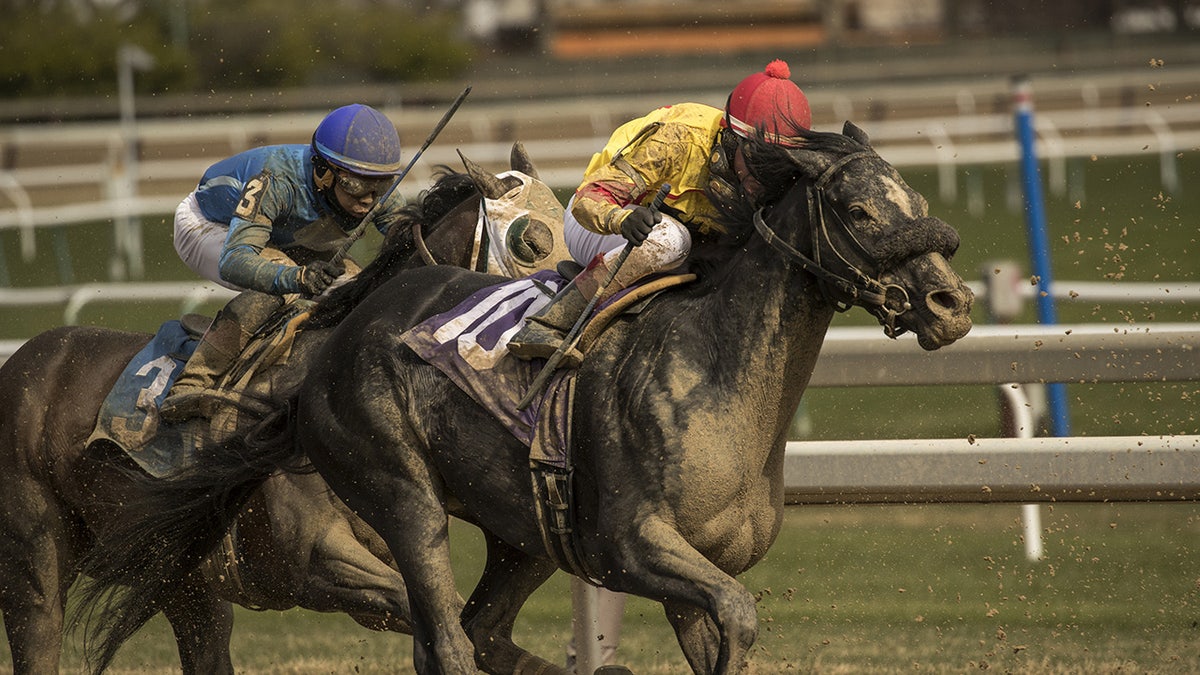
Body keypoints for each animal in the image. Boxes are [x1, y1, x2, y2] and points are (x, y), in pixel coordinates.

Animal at [0, 143, 565, 674]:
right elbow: (443, 618)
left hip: (182, 581)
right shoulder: (316, 560)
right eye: (530, 240)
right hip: (34, 566)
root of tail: (25, 358)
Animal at [76, 121, 974, 674]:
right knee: (445, 638)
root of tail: (330, 350)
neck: (713, 369)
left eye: (920, 201)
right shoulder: (634, 545)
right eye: (859, 209)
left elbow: (728, 625)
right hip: (402, 493)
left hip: (524, 534)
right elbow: (740, 611)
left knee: (478, 630)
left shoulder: (687, 574)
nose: (951, 302)